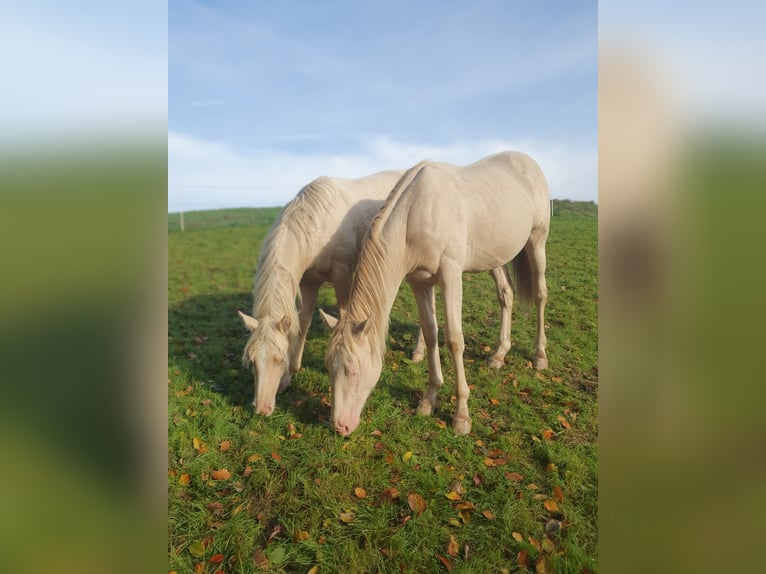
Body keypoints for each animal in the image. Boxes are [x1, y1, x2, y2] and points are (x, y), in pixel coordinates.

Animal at [237, 169, 520, 416]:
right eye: (252, 362)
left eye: (278, 359)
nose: (261, 408)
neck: (315, 223)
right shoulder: (308, 281)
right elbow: (302, 322)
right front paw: (291, 375)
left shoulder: (342, 274)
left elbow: (343, 314)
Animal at [324, 153, 552, 436]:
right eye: (328, 367)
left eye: (353, 370)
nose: (340, 426)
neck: (417, 213)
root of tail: (528, 163)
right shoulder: (419, 282)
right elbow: (431, 333)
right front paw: (428, 400)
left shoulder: (451, 275)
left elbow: (454, 339)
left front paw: (461, 415)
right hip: (495, 257)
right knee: (505, 295)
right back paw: (499, 354)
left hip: (537, 242)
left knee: (541, 294)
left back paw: (540, 355)